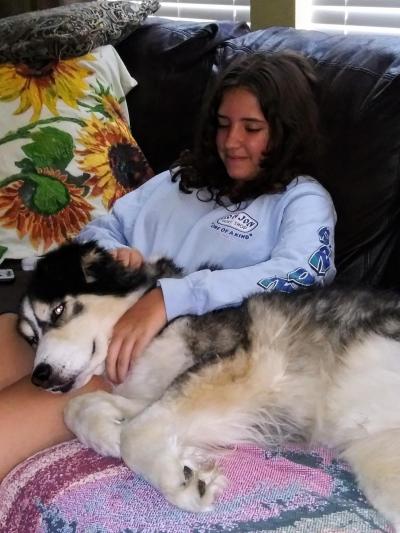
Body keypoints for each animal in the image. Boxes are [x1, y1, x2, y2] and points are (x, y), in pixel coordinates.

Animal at [18, 241, 400, 528]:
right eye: (31, 339)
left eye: (57, 312)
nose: (39, 377)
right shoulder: (164, 394)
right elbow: (78, 406)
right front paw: (107, 433)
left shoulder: (245, 366)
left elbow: (135, 434)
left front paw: (182, 480)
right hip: (376, 458)